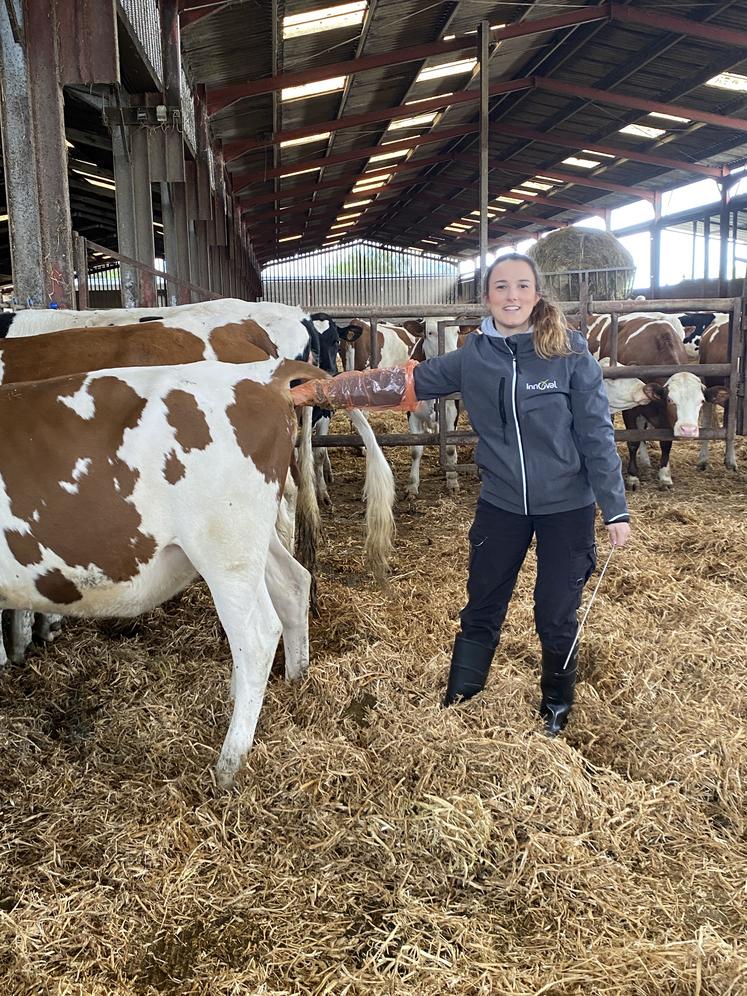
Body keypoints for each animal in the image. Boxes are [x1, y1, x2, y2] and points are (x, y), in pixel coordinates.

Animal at [0, 358, 326, 784]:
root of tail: (262, 373)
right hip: (253, 543)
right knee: (294, 584)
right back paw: (295, 679)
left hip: (225, 550)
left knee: (256, 636)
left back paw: (229, 764)